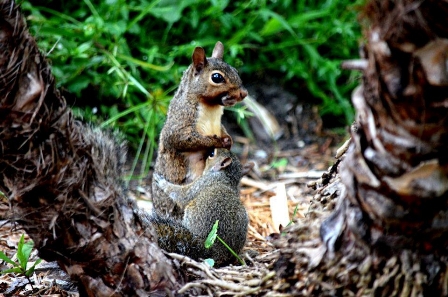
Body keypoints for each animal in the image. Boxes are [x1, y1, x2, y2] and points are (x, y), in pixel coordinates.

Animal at [152, 41, 247, 217]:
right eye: (217, 77)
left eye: (235, 70)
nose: (243, 93)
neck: (211, 107)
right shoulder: (181, 120)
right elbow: (182, 139)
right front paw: (218, 141)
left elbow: (223, 129)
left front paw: (228, 140)